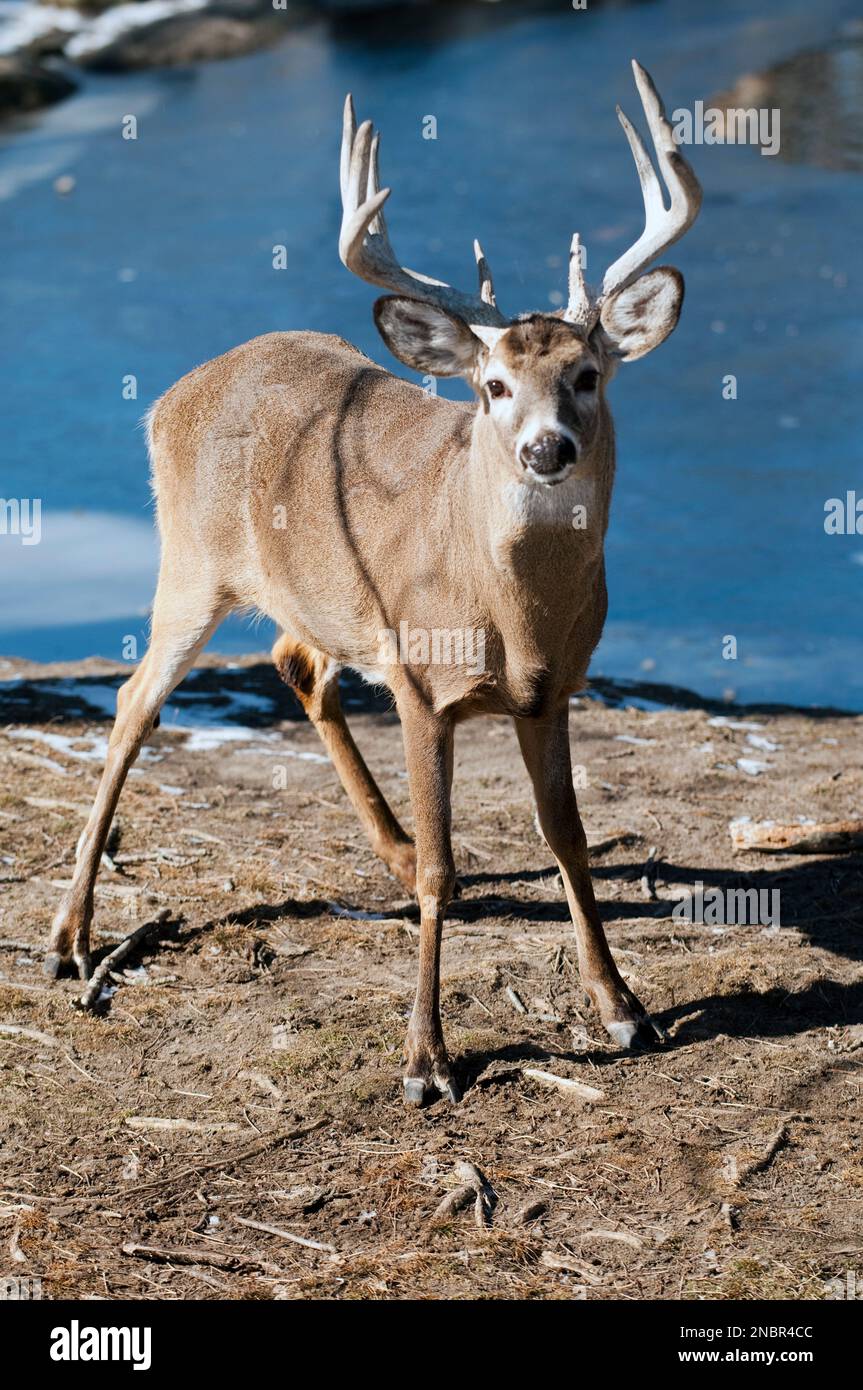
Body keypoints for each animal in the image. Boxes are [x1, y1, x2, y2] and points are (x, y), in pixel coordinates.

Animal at [45, 60, 701, 1106]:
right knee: (133, 701)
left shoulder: (553, 689)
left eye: (589, 375)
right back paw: (69, 937)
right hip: (188, 564)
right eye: (491, 387)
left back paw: (383, 853)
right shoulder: (423, 687)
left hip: (312, 599)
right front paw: (425, 1061)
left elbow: (566, 838)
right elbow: (445, 867)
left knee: (295, 661)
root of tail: (174, 394)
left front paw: (622, 1009)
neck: (510, 613)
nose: (546, 449)